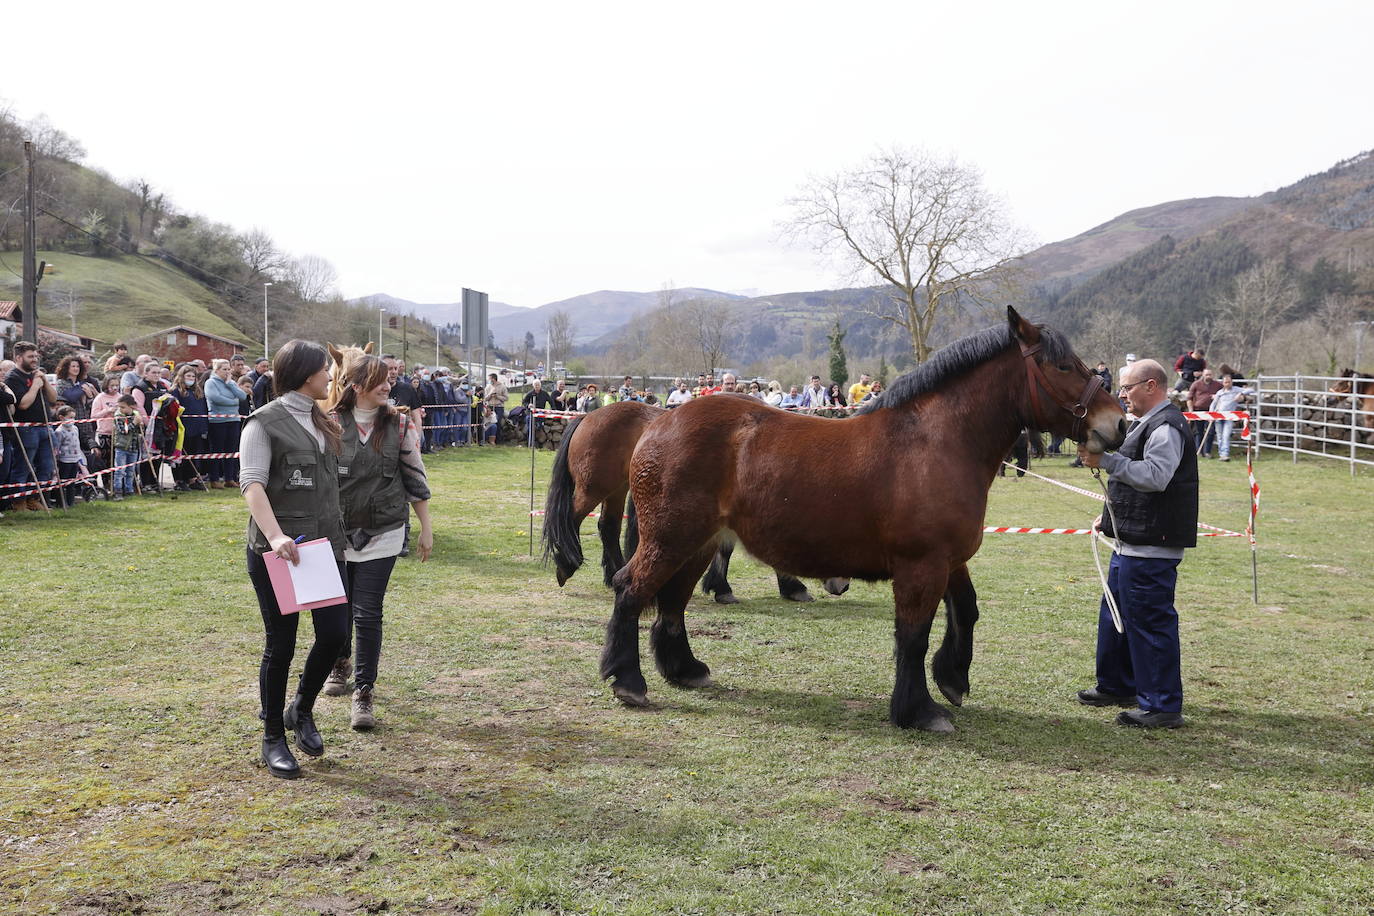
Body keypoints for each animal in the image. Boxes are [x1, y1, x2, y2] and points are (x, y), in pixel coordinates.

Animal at [546, 401, 846, 601]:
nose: (842, 585)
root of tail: (587, 416)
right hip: (592, 489)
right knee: (569, 520)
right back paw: (566, 565)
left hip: (616, 490)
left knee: (607, 528)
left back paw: (615, 575)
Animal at [601, 307, 1126, 730]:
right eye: (1063, 366)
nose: (1117, 424)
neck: (936, 442)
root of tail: (659, 420)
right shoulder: (921, 565)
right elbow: (912, 636)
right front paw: (918, 711)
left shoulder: (949, 559)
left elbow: (967, 610)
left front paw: (953, 679)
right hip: (670, 539)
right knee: (632, 588)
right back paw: (629, 681)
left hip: (698, 543)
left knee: (672, 601)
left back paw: (685, 670)